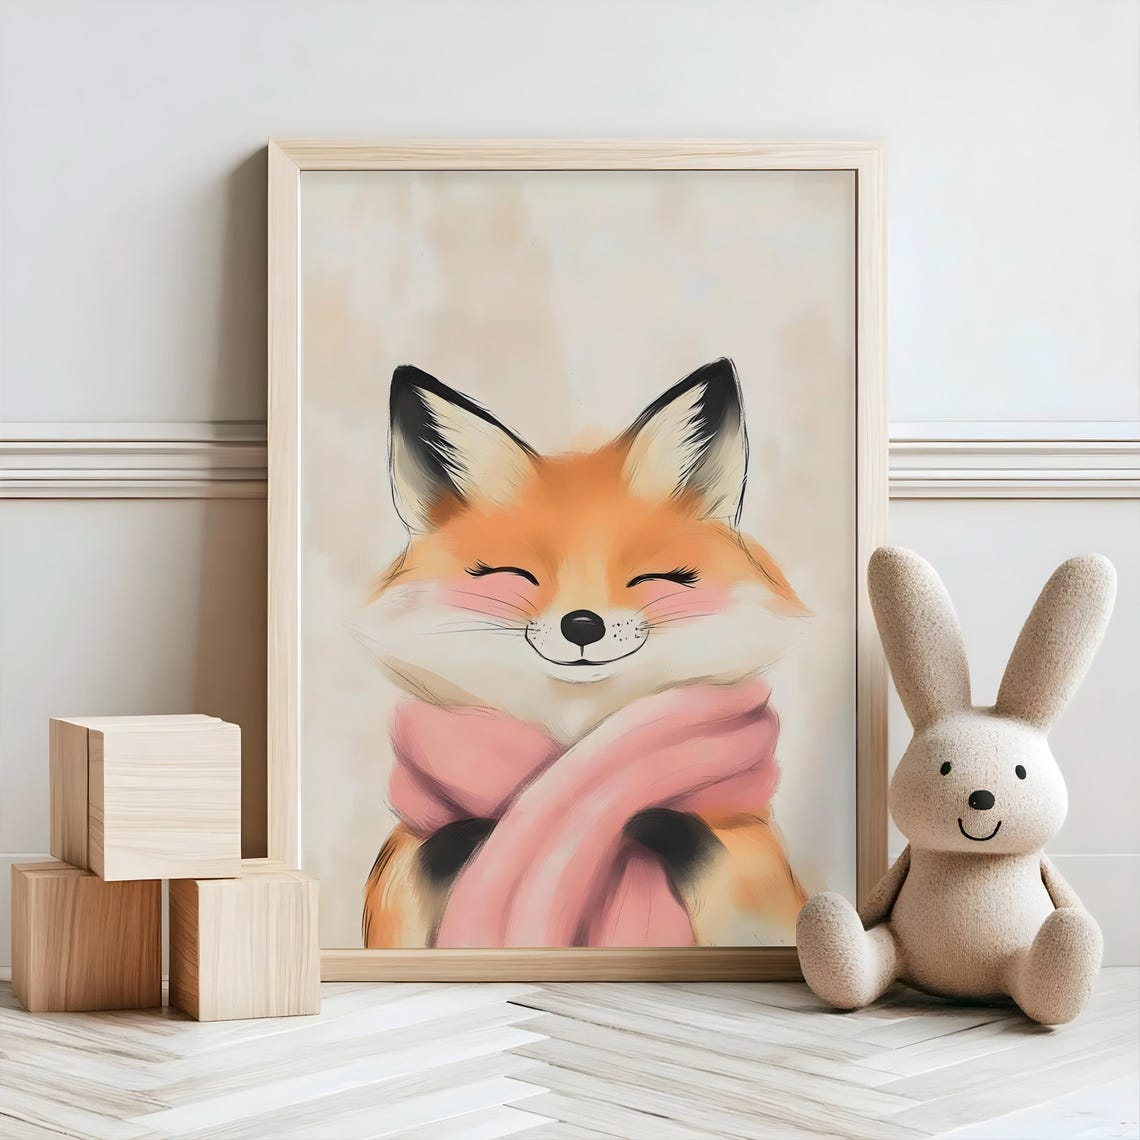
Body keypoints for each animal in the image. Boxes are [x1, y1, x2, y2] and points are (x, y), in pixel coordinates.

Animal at [356, 357, 811, 948]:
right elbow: (432, 853)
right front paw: (476, 838)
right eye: (515, 574)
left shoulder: (757, 879)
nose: (582, 625)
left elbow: (707, 851)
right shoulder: (399, 877)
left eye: (654, 577)